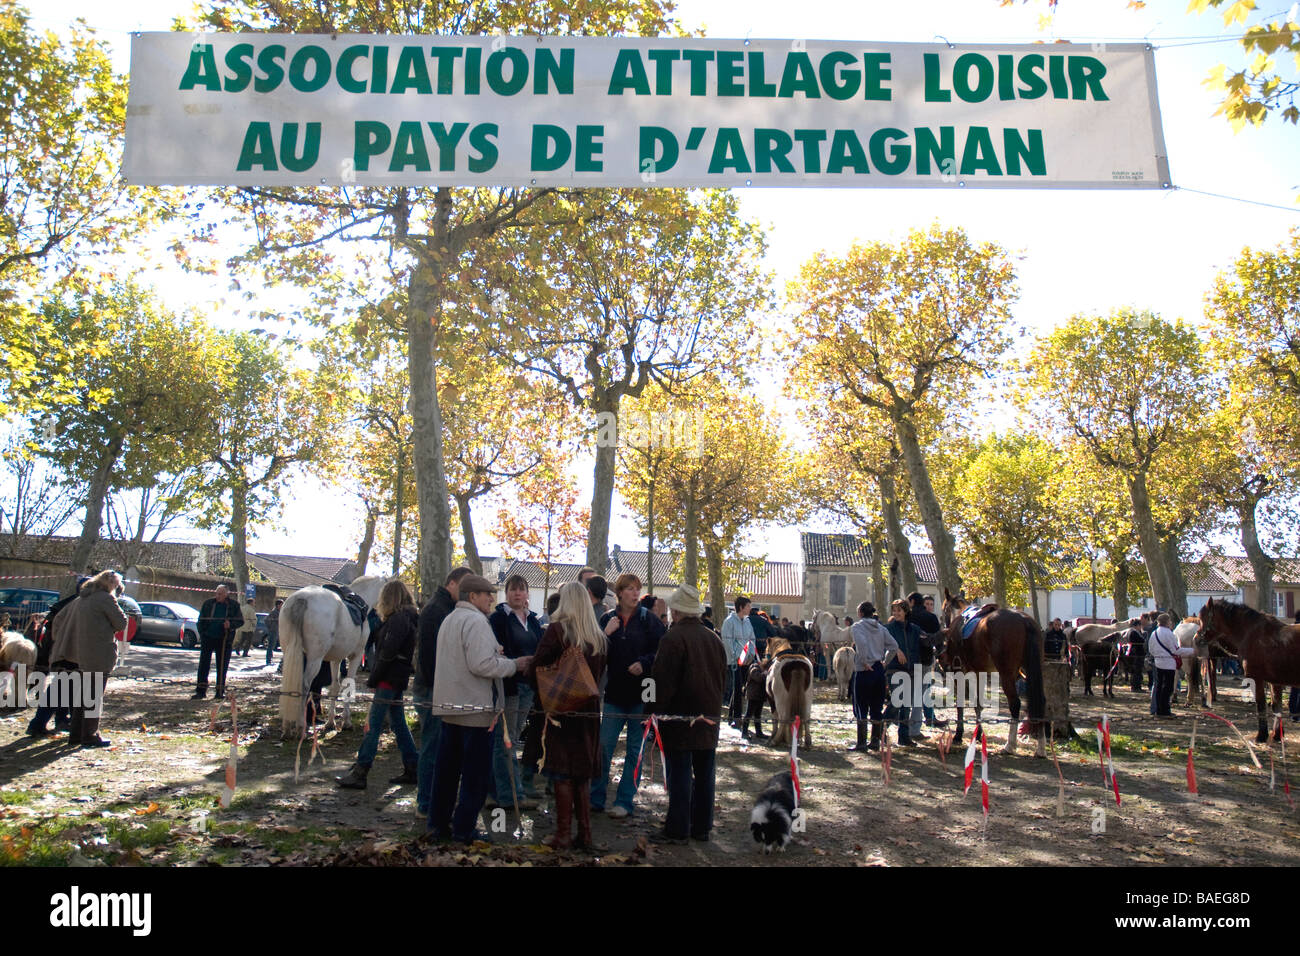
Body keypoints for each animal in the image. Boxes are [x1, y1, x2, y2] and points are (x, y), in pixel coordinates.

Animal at [278, 574, 390, 738]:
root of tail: (302, 598)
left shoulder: (336, 659)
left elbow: (334, 687)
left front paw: (330, 722)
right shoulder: (355, 656)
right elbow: (348, 685)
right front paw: (346, 722)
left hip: (290, 652)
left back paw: (287, 727)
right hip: (314, 658)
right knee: (304, 685)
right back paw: (300, 727)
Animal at [935, 587, 1045, 759]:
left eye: (943, 609)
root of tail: (1024, 620)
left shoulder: (960, 673)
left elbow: (962, 704)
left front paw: (959, 734)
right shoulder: (979, 672)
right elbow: (978, 704)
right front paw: (979, 735)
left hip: (1007, 674)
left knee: (1015, 704)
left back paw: (1010, 745)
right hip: (1030, 671)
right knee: (1041, 701)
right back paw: (1041, 747)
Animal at [1196, 598, 1300, 749]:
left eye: (1202, 618)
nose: (1196, 639)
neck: (1251, 634)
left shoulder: (1257, 679)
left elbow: (1261, 705)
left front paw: (1261, 736)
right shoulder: (1275, 682)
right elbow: (1276, 706)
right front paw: (1276, 735)